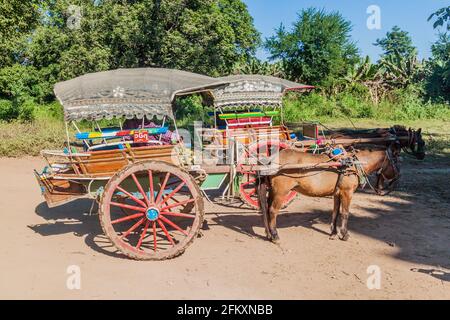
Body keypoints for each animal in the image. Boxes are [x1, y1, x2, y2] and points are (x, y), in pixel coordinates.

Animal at [256, 142, 400, 242]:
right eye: (395, 161)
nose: (397, 177)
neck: (354, 164)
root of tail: (271, 159)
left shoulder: (337, 193)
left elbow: (335, 213)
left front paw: (333, 233)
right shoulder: (347, 193)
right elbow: (345, 213)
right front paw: (344, 234)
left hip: (273, 191)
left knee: (267, 209)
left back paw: (268, 234)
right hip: (281, 192)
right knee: (272, 211)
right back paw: (275, 236)